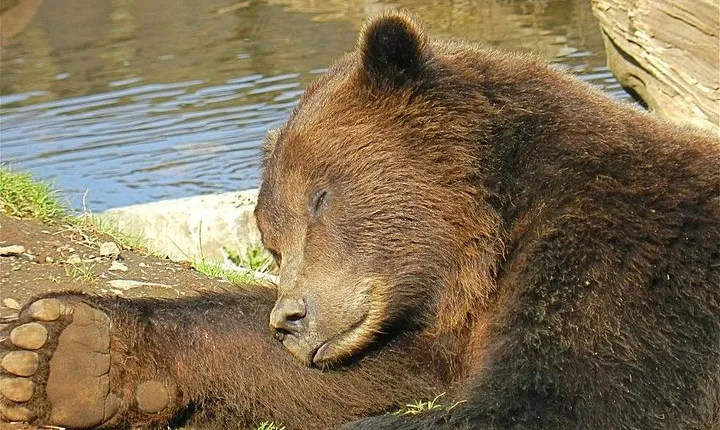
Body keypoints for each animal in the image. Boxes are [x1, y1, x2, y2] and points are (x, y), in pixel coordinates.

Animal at [2, 11, 720, 429]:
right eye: (271, 240)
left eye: (320, 198)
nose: (290, 317)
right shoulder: (435, 329)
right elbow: (378, 368)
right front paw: (62, 353)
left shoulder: (625, 263)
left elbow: (561, 399)